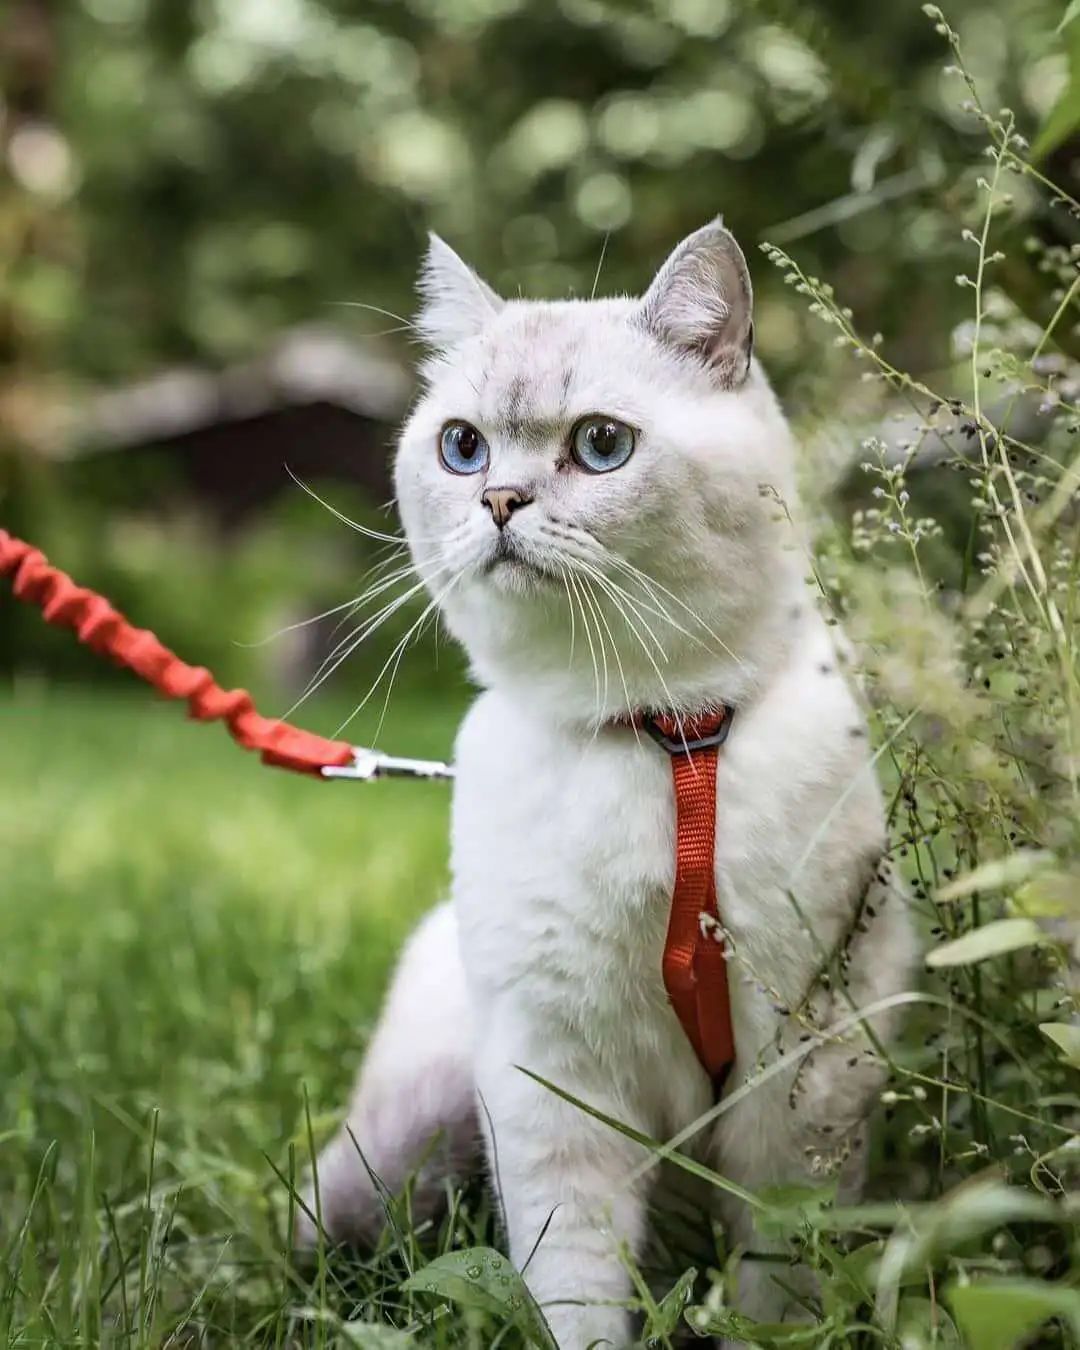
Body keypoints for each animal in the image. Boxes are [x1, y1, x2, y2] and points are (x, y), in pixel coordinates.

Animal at [299, 216, 918, 1344]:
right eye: (463, 447)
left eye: (599, 446)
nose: (499, 500)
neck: (665, 741)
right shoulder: (556, 1073)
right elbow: (576, 1285)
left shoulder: (803, 1063)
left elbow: (778, 1277)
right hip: (424, 1124)